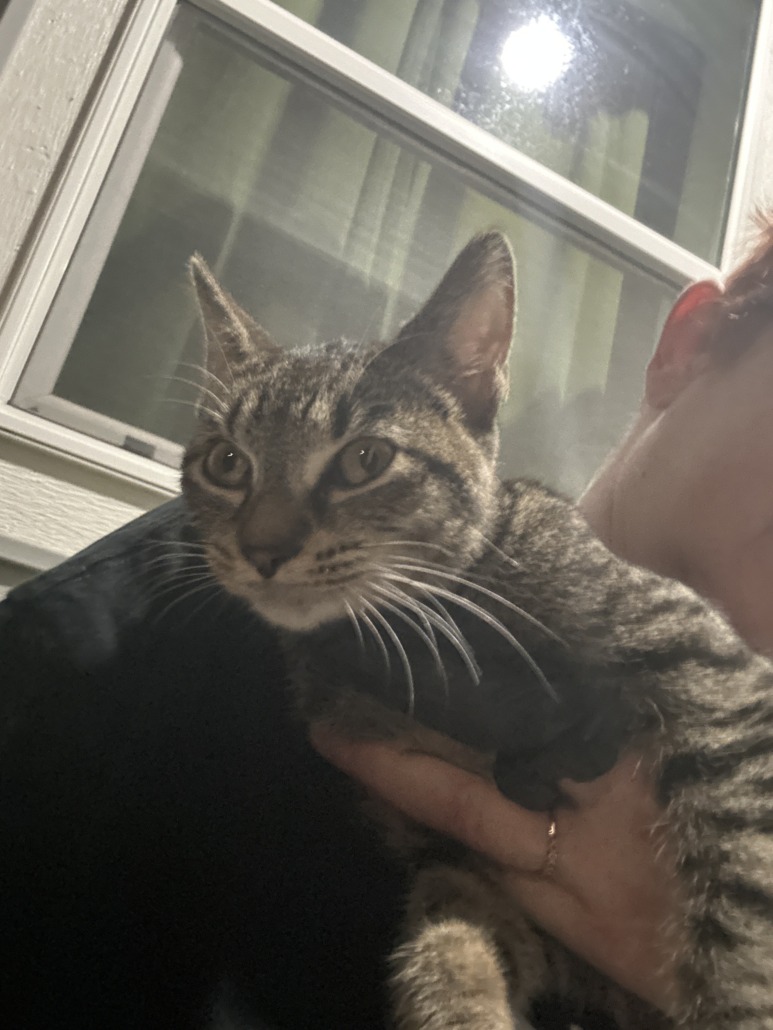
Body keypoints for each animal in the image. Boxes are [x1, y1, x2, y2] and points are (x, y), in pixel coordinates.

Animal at [181, 232, 773, 1029]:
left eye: (365, 460)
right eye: (226, 463)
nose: (262, 549)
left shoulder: (722, 680)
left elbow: (741, 906)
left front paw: (739, 1003)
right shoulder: (462, 864)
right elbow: (447, 955)